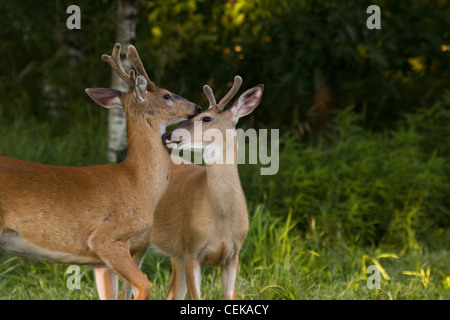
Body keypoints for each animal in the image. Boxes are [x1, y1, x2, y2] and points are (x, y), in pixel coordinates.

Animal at [0, 43, 202, 300]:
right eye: (167, 95)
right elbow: (145, 285)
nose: (197, 107)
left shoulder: (102, 263)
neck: (139, 182)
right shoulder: (107, 238)